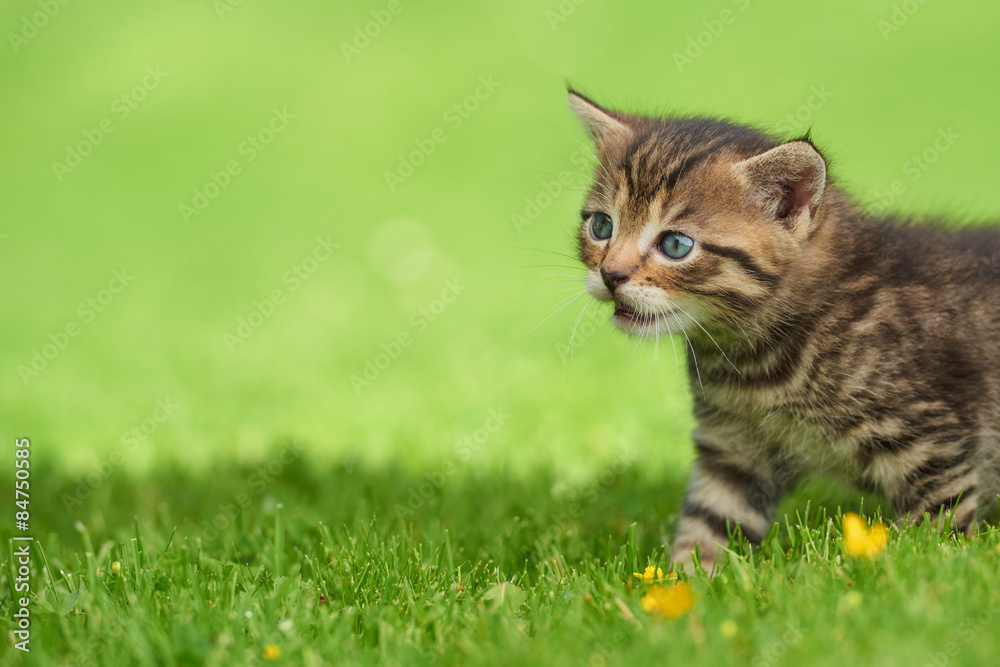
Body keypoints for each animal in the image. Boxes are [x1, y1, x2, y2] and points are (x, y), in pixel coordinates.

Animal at [568, 90, 1000, 576]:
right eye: (601, 226)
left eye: (676, 245)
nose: (611, 274)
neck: (757, 360)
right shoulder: (733, 451)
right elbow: (709, 525)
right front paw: (683, 582)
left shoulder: (930, 444)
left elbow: (938, 533)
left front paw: (926, 569)